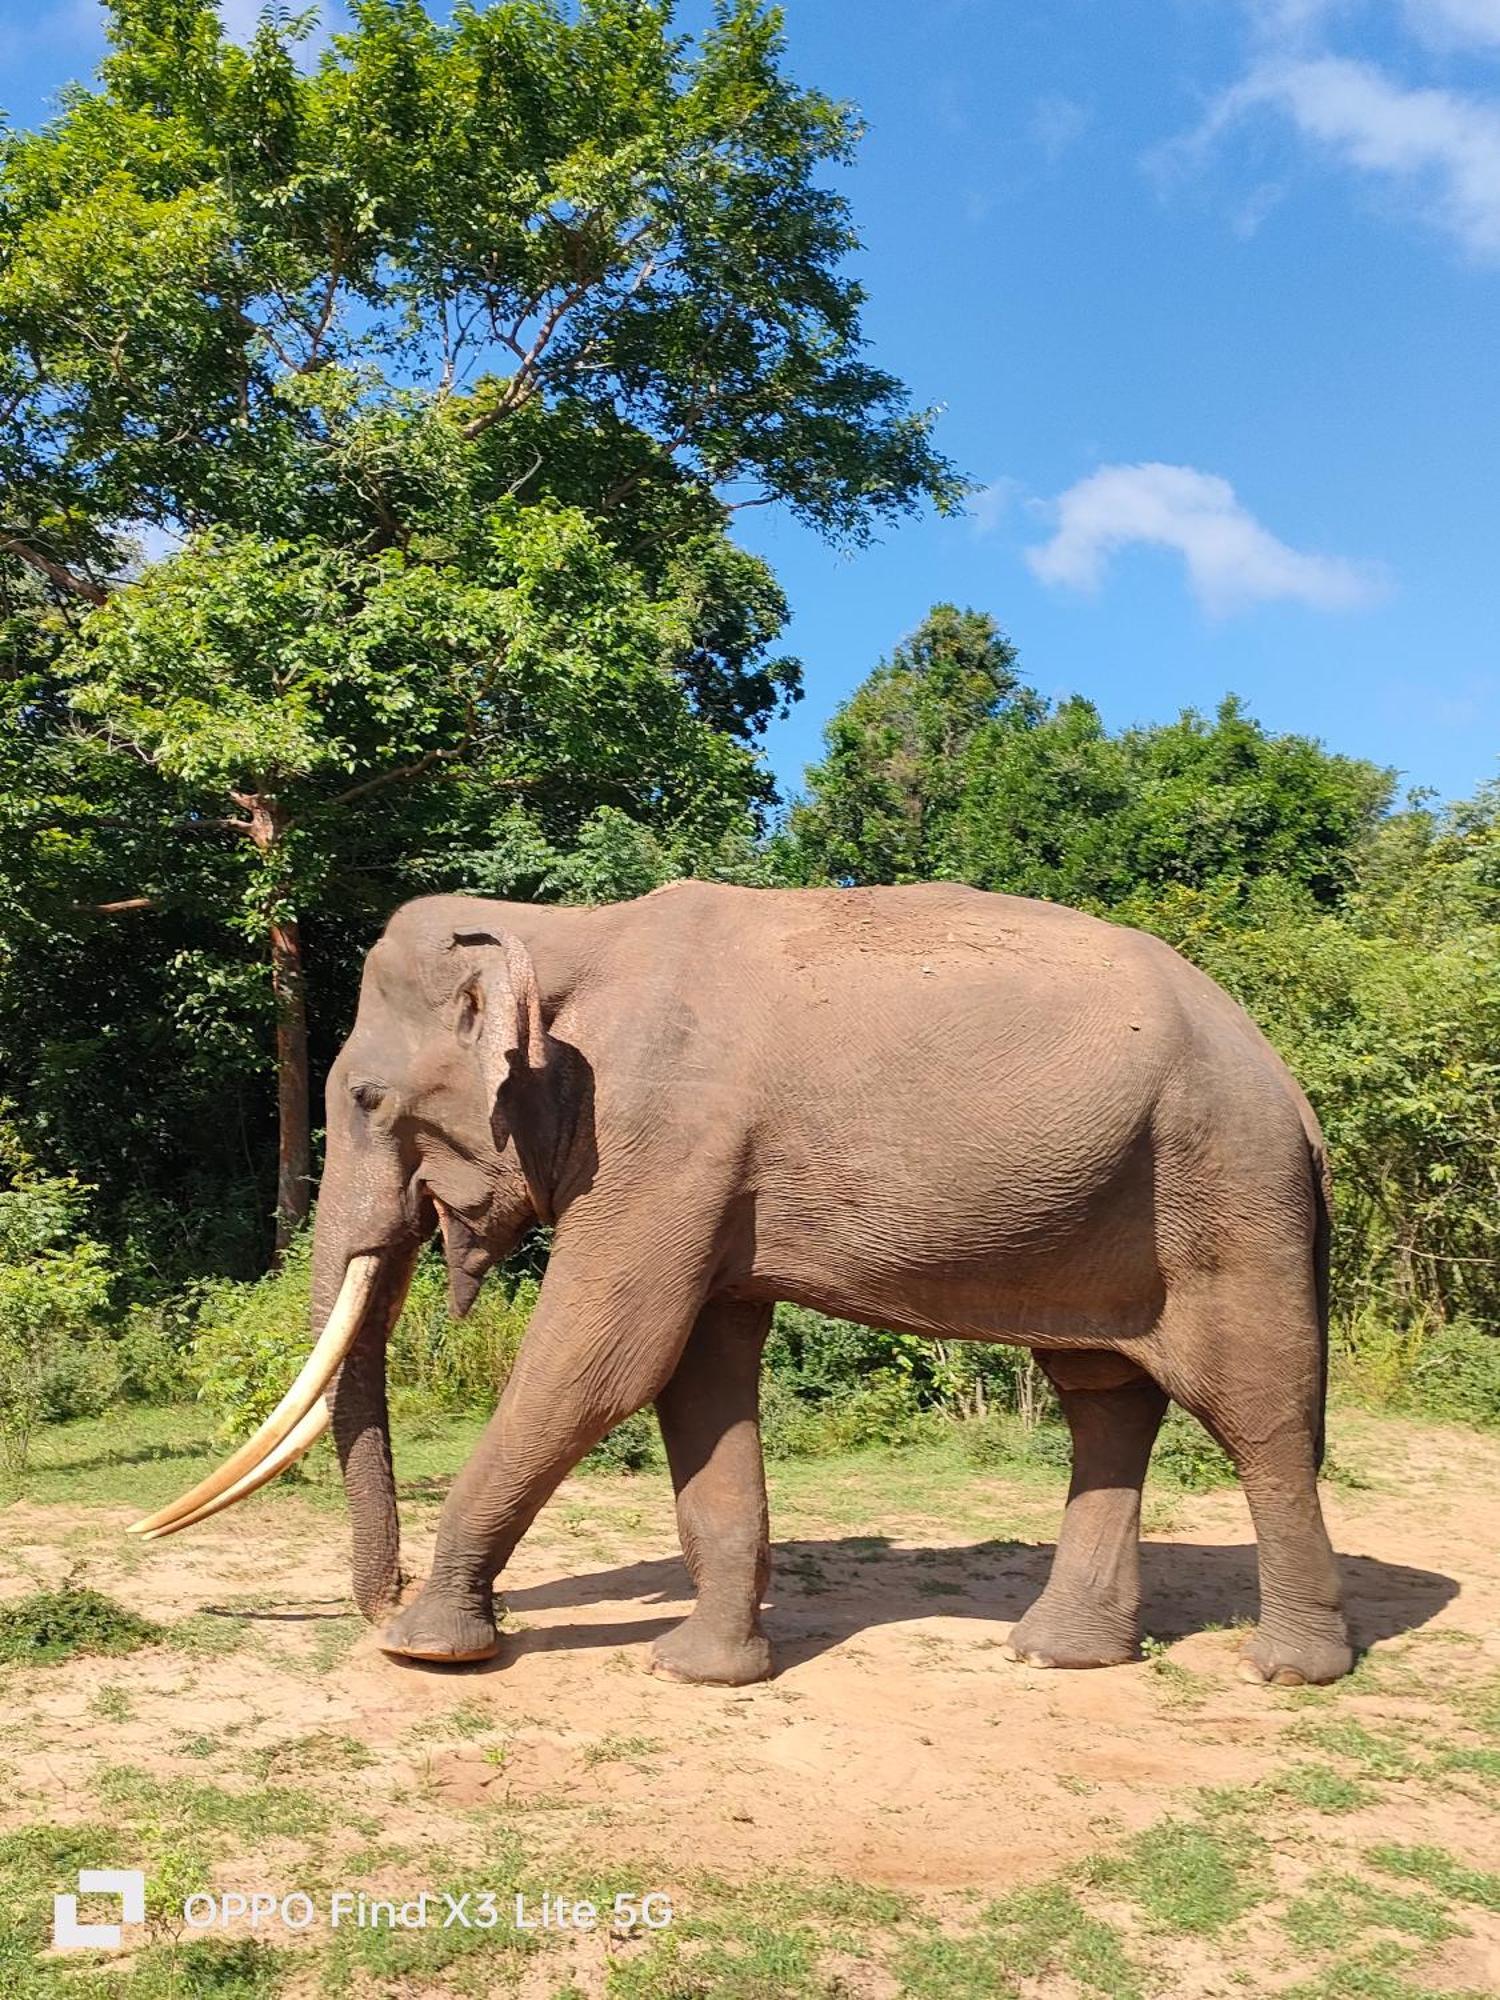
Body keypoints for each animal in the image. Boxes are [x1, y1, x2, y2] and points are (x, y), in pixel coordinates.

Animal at [135, 880, 1360, 1688]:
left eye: (367, 1098)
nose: (375, 1598)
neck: (563, 928)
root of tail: (1291, 1087)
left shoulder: (664, 1137)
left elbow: (601, 1359)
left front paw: (428, 1648)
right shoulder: (700, 1174)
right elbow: (696, 1372)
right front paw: (700, 1671)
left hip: (1228, 1190)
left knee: (1256, 1410)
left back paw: (1289, 1670)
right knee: (1104, 1393)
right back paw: (1064, 1655)